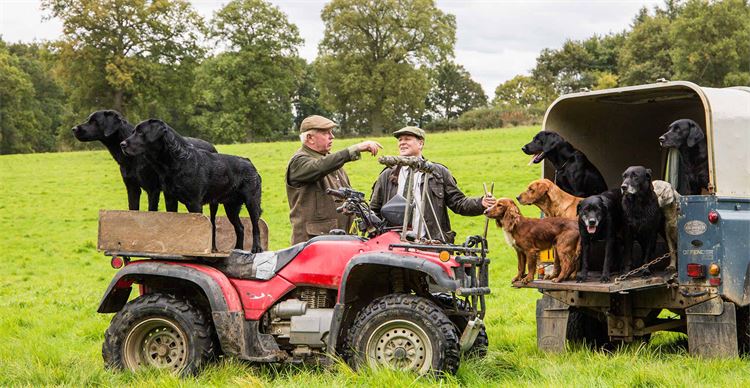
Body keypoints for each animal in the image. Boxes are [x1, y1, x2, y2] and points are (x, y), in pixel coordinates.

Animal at [72, 109, 217, 212]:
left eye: (94, 121)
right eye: (88, 119)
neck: (132, 158)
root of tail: (212, 147)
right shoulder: (132, 187)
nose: (74, 129)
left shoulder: (153, 190)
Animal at [121, 119, 264, 252]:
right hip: (231, 207)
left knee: (255, 226)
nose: (122, 144)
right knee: (240, 227)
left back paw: (256, 248)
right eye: (133, 131)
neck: (177, 161)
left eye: (140, 132)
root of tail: (249, 162)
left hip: (252, 202)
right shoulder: (170, 199)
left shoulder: (194, 203)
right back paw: (237, 249)